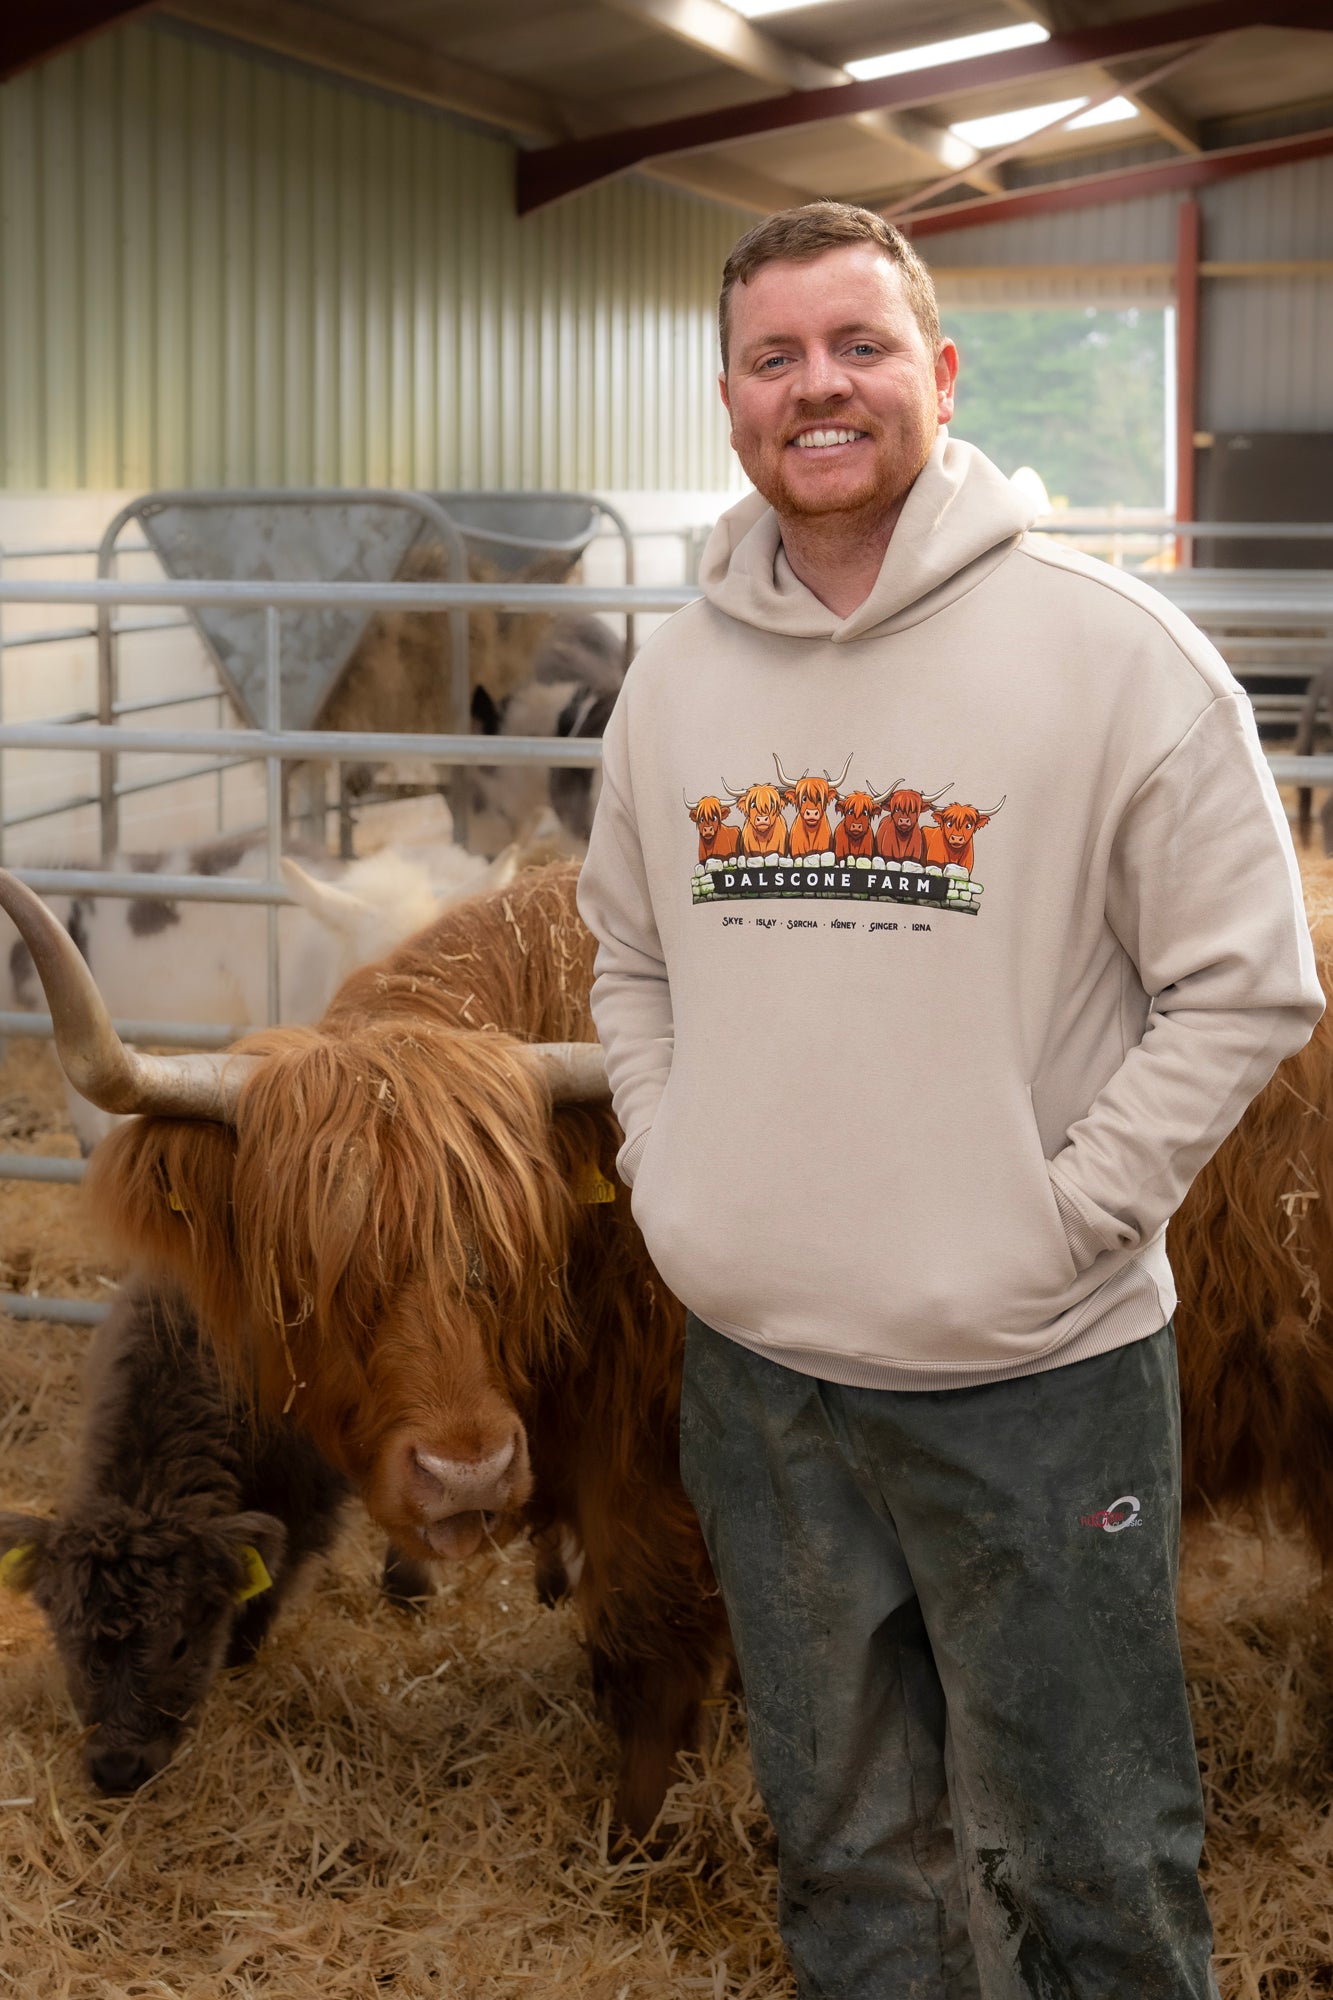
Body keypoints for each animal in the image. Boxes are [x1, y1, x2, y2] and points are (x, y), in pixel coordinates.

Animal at [0, 1282, 430, 1794]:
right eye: (69, 1636)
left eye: (180, 1645)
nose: (118, 1768)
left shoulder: (304, 1504)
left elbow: (269, 1590)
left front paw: (239, 1660)